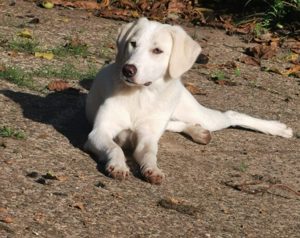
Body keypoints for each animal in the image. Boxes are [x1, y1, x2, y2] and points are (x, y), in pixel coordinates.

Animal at [84, 17, 292, 185]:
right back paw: (198, 132)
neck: (141, 95)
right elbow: (115, 148)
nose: (128, 70)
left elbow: (150, 154)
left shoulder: (147, 138)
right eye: (132, 44)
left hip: (197, 114)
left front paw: (152, 169)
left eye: (157, 50)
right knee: (180, 124)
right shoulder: (99, 132)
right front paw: (118, 166)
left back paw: (278, 128)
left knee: (231, 114)